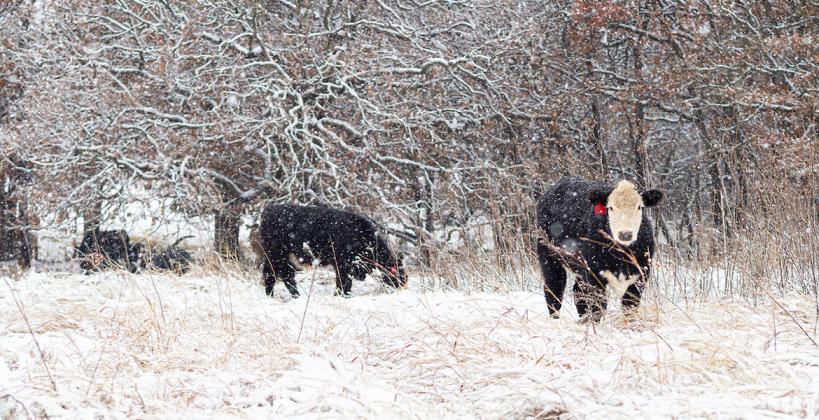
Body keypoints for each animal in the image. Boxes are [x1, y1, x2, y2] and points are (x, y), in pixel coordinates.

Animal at [257, 204, 408, 298]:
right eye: (396, 273)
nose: (401, 285)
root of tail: (268, 210)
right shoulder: (342, 264)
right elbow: (344, 282)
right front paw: (341, 295)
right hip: (277, 255)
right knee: (279, 274)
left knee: (278, 274)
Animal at [536, 177, 663, 322]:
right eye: (610, 208)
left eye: (639, 207)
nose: (625, 234)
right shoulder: (594, 275)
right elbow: (598, 306)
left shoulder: (640, 275)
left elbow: (630, 307)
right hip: (548, 255)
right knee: (554, 289)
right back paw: (555, 319)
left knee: (577, 291)